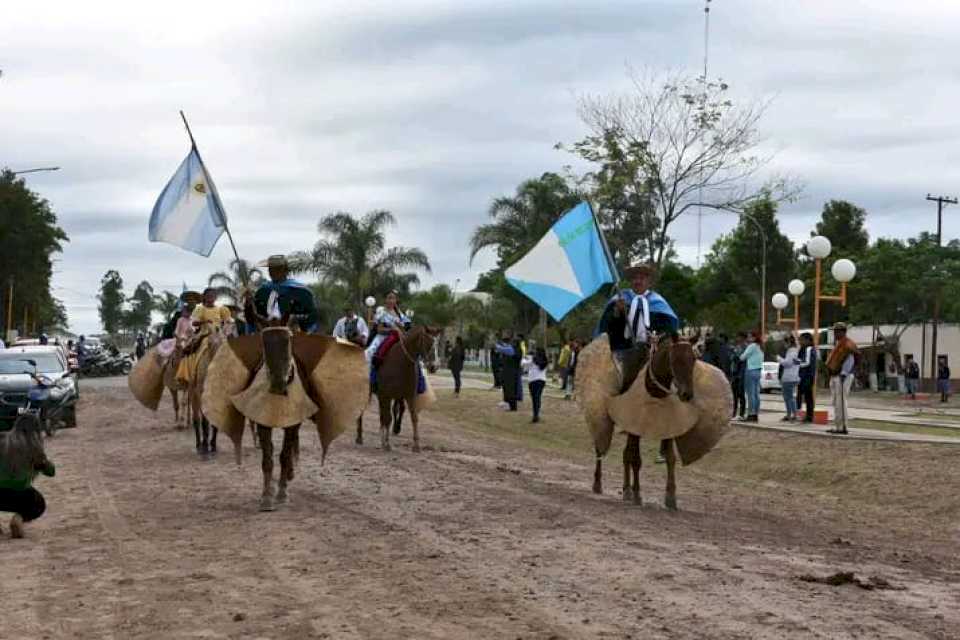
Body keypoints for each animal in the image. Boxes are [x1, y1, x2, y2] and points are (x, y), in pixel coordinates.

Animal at [356, 324, 438, 456]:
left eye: (438, 344)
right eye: (428, 342)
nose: (434, 366)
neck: (401, 362)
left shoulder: (409, 395)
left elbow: (414, 417)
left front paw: (416, 446)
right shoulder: (387, 395)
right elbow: (388, 418)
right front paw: (387, 443)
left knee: (383, 416)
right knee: (365, 411)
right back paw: (359, 437)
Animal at [592, 332, 696, 512]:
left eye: (694, 359)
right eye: (675, 359)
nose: (686, 394)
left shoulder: (668, 426)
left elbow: (670, 458)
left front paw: (670, 497)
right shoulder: (636, 427)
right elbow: (636, 459)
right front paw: (637, 494)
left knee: (625, 454)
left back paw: (626, 489)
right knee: (602, 447)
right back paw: (598, 483)